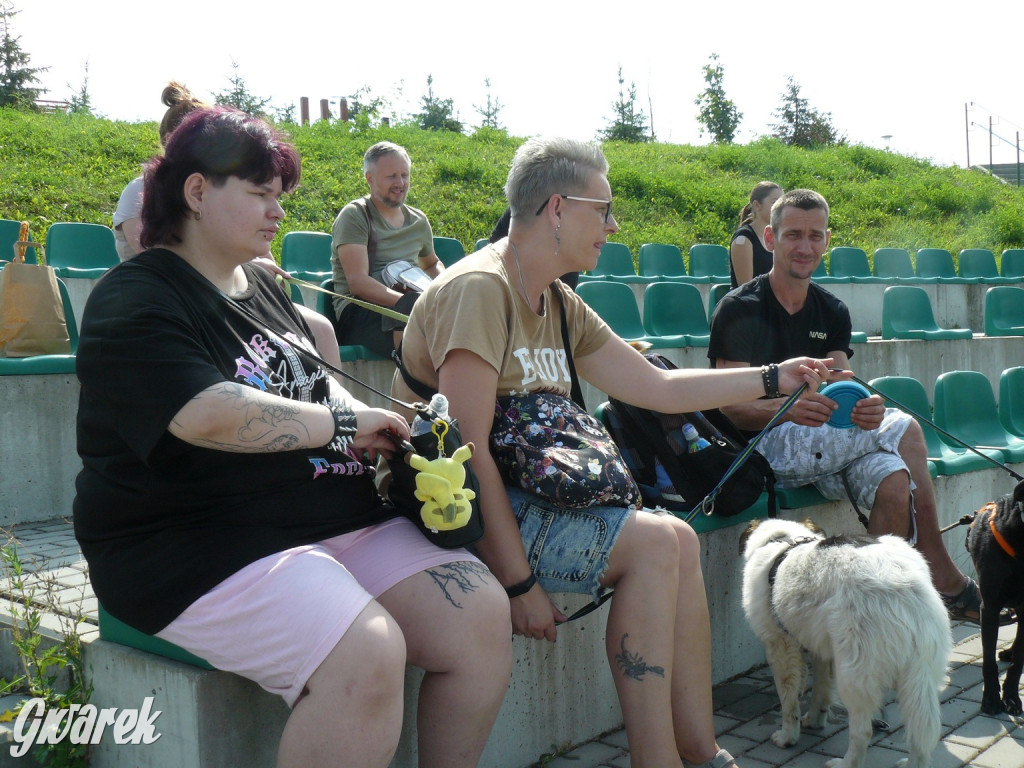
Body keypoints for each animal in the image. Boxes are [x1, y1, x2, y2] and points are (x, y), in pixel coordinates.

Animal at [737, 518, 950, 768]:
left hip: (853, 675)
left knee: (863, 732)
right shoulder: (822, 649)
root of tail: (907, 588)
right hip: (920, 677)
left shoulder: (780, 646)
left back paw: (846, 763)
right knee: (920, 732)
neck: (782, 540)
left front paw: (788, 737)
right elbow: (821, 691)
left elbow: (789, 701)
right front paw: (815, 720)